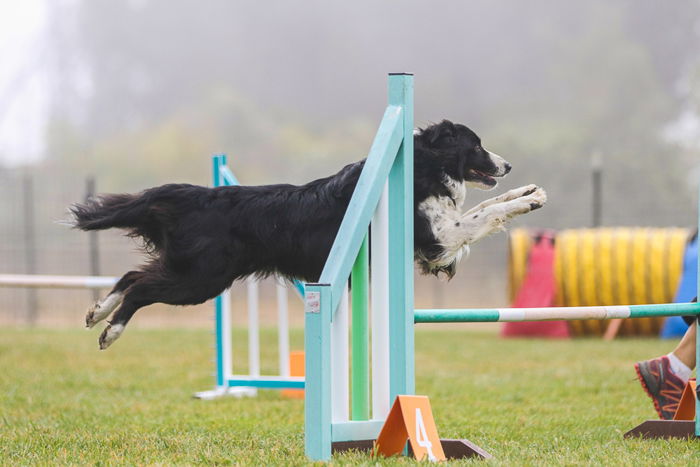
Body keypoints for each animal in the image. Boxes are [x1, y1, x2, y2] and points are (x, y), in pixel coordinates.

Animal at [74, 120, 548, 348]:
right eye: (476, 145)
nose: (508, 166)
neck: (422, 164)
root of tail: (195, 195)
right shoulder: (438, 240)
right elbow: (486, 213)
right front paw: (526, 199)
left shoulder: (442, 235)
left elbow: (485, 207)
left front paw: (530, 191)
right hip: (201, 279)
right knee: (141, 287)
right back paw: (109, 331)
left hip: (192, 272)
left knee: (133, 276)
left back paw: (97, 311)